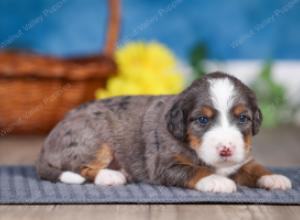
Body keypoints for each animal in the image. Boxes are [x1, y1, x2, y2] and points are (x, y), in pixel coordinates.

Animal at [36, 72, 292, 192]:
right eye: (202, 119)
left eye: (242, 118)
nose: (226, 149)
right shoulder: (165, 165)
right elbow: (195, 170)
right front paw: (218, 181)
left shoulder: (241, 159)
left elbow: (254, 167)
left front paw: (273, 177)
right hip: (93, 141)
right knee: (80, 167)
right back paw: (111, 175)